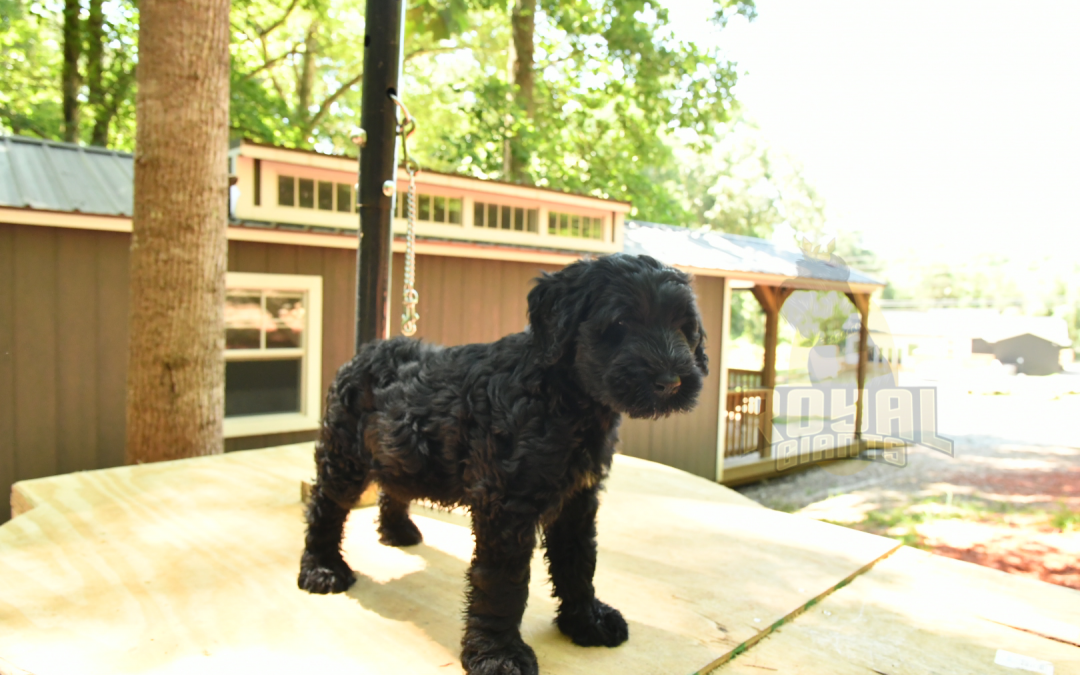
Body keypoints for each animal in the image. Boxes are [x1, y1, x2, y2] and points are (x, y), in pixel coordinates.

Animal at [300, 253, 704, 673]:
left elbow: (578, 562)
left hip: (397, 454)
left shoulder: (577, 499)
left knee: (393, 483)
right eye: (621, 323)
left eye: (684, 327)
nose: (671, 382)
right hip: (344, 458)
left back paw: (397, 531)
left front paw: (586, 622)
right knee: (325, 507)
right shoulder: (506, 506)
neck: (560, 397)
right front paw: (498, 654)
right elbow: (502, 584)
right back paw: (321, 569)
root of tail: (369, 350)